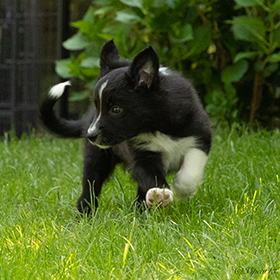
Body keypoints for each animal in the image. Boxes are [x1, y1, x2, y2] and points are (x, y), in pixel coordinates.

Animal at [40, 39, 212, 213]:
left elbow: (191, 169)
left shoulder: (201, 135)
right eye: (98, 106)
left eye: (116, 109)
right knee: (90, 187)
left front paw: (182, 191)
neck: (156, 126)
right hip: (96, 157)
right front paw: (160, 194)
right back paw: (86, 214)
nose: (91, 135)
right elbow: (150, 176)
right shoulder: (141, 154)